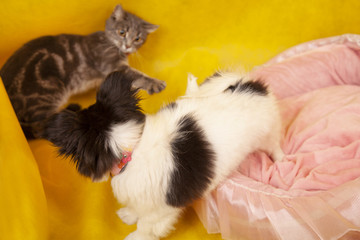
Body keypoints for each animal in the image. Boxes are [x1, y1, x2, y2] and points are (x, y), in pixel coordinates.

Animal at [0, 4, 165, 139]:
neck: (109, 43)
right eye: (122, 32)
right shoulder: (112, 65)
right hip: (48, 92)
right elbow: (136, 75)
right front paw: (155, 84)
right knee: (40, 128)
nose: (128, 46)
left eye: (138, 39)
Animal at [43, 69, 284, 238]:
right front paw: (129, 214)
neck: (131, 148)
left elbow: (146, 225)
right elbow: (136, 209)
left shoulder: (161, 209)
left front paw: (136, 236)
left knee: (275, 146)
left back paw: (281, 160)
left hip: (268, 134)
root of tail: (248, 85)